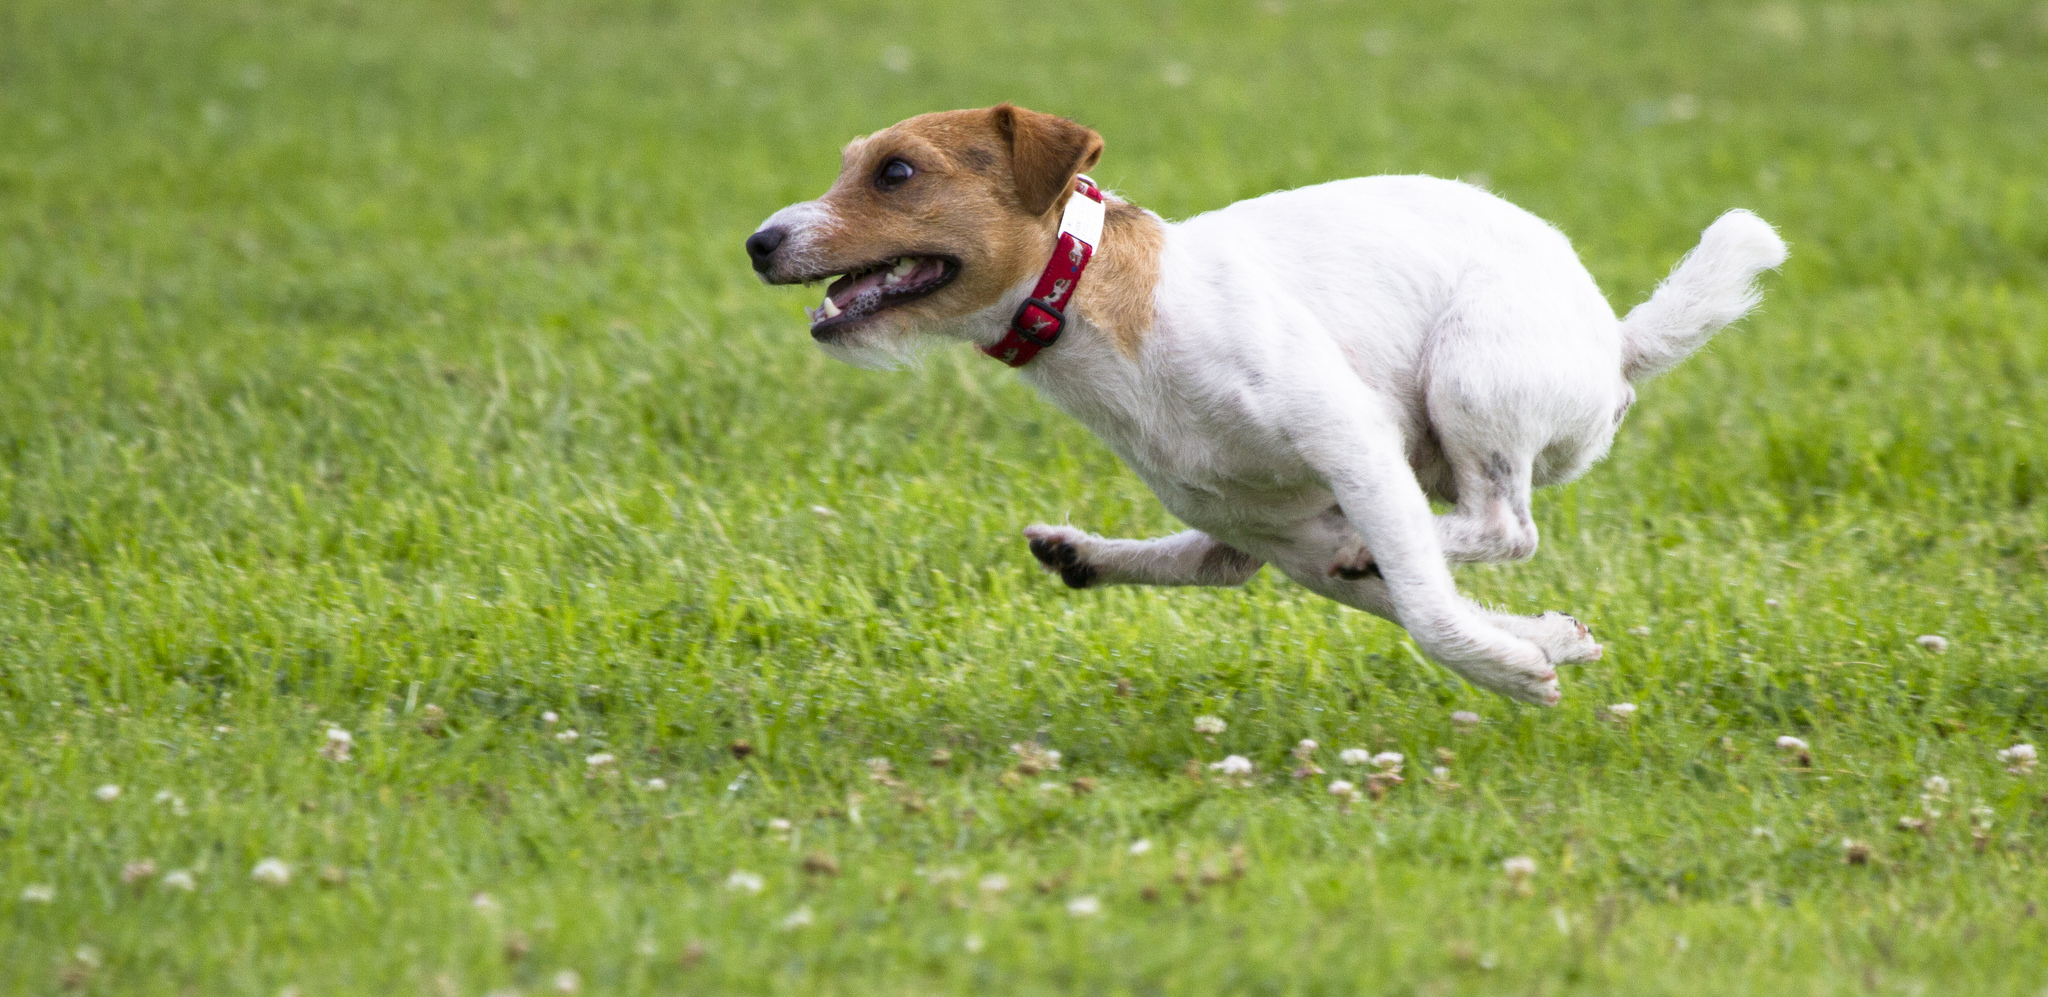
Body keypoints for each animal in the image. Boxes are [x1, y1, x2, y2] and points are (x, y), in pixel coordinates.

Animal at [745, 105, 1785, 708]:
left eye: (897, 173)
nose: (758, 241)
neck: (1092, 297)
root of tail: (1617, 343)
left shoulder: (1353, 443)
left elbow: (1427, 603)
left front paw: (1510, 668)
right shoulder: (1278, 516)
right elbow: (1407, 593)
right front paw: (1536, 643)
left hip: (1468, 378)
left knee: (1494, 527)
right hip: (1273, 521)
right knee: (1251, 562)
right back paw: (1089, 555)